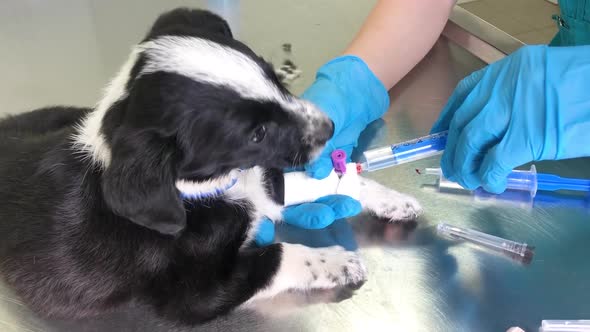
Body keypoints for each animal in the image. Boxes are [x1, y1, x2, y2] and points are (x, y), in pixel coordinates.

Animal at [0, 8, 420, 326]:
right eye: (256, 133)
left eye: (271, 76)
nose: (330, 127)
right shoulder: (195, 295)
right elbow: (276, 256)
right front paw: (337, 260)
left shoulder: (265, 182)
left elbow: (325, 180)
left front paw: (389, 199)